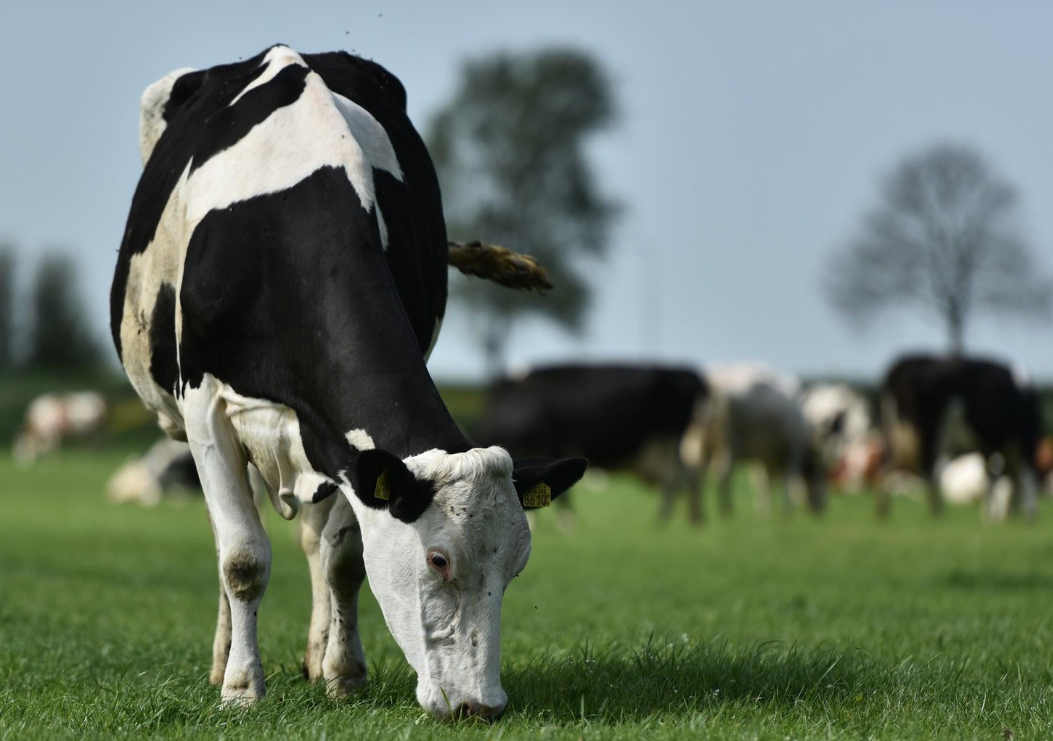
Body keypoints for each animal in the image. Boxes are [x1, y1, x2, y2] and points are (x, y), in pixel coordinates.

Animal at [112, 46, 589, 715]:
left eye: (517, 565)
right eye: (438, 560)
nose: (482, 706)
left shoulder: (346, 445)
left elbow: (343, 557)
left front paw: (343, 674)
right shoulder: (205, 404)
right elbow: (241, 557)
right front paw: (241, 687)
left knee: (314, 542)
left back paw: (314, 658)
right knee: (226, 536)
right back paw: (223, 658)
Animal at [475, 364, 707, 522]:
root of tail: (685, 372)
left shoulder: (553, 443)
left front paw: (566, 521)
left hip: (670, 437)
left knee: (679, 475)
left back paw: (665, 518)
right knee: (683, 474)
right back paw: (689, 519)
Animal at [699, 364, 829, 515]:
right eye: (820, 475)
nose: (822, 507)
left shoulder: (762, 458)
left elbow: (762, 483)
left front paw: (764, 510)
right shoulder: (793, 451)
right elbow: (788, 478)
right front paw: (787, 508)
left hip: (702, 446)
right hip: (729, 446)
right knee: (723, 473)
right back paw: (727, 508)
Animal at [876, 353, 1040, 517]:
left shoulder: (988, 444)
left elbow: (992, 477)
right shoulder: (1014, 439)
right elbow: (1015, 477)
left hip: (896, 433)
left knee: (888, 464)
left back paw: (884, 511)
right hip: (929, 432)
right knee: (929, 471)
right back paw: (938, 512)